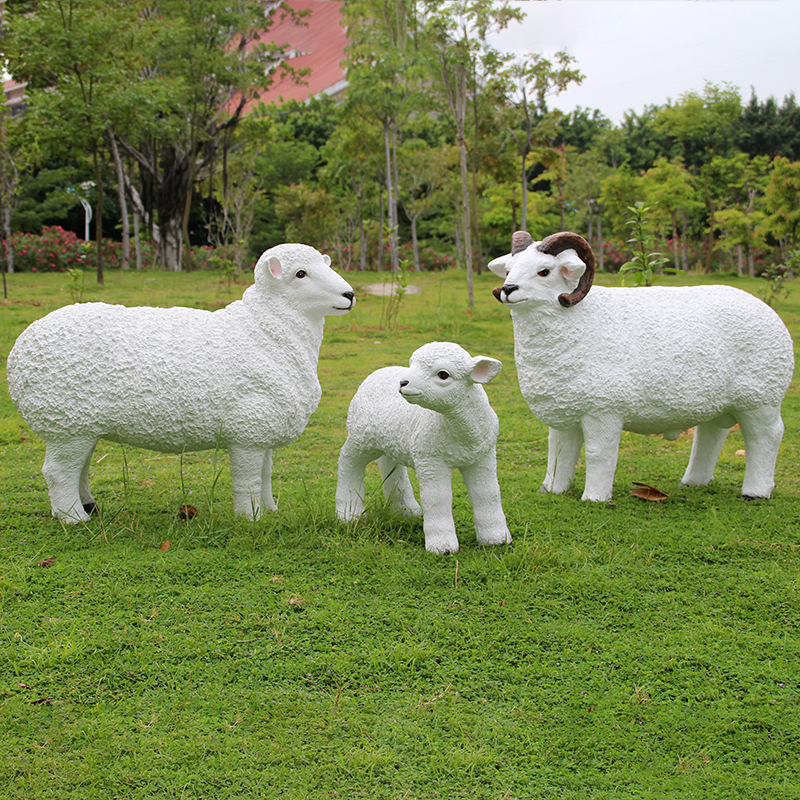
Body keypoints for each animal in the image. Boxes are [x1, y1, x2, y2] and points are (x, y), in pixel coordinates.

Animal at [7, 243, 355, 522]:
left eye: (326, 264)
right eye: (300, 274)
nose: (350, 295)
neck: (262, 331)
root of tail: (18, 352)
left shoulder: (263, 427)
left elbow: (266, 475)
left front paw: (270, 511)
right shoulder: (247, 428)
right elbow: (248, 480)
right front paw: (250, 518)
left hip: (78, 423)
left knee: (78, 468)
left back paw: (89, 505)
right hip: (65, 421)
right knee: (58, 472)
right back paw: (74, 518)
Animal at [335, 341, 512, 554]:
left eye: (443, 374)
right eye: (412, 364)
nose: (403, 383)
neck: (461, 432)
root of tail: (378, 371)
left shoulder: (483, 456)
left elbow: (487, 492)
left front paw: (497, 539)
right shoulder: (431, 459)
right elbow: (437, 497)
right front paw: (442, 546)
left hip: (390, 439)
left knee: (389, 464)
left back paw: (406, 510)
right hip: (361, 435)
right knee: (348, 461)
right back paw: (349, 514)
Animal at [488, 231, 795, 502]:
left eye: (544, 272)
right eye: (508, 270)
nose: (508, 290)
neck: (580, 319)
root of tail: (766, 310)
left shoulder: (604, 411)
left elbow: (599, 453)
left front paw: (595, 497)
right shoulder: (565, 413)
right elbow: (559, 453)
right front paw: (552, 490)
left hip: (760, 399)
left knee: (766, 437)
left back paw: (756, 492)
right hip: (718, 401)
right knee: (711, 435)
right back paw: (693, 482)